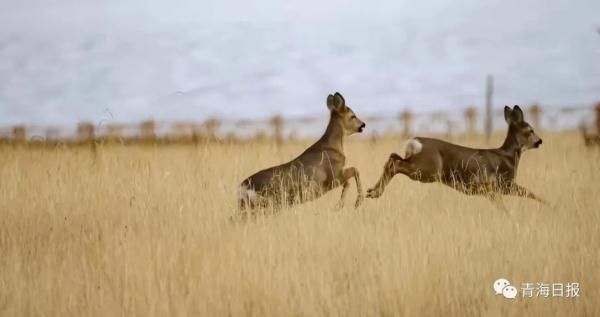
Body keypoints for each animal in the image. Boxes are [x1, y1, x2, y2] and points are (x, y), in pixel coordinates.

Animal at [366, 105, 548, 210]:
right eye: (530, 130)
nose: (540, 141)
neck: (508, 157)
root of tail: (415, 142)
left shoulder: (491, 190)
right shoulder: (503, 183)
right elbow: (530, 193)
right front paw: (550, 206)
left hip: (421, 167)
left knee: (392, 157)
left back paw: (372, 191)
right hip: (427, 171)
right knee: (395, 163)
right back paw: (375, 192)